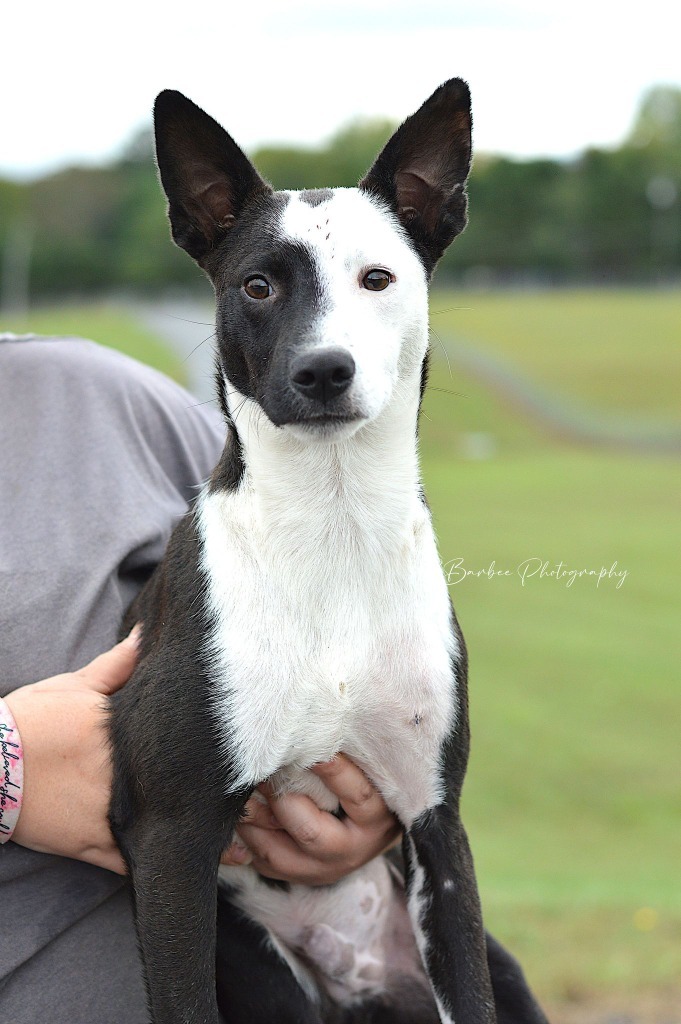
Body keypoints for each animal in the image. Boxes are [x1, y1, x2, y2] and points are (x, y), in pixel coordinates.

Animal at [109, 81, 548, 1024]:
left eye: (377, 278)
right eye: (258, 284)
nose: (323, 371)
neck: (333, 530)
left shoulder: (435, 824)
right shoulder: (173, 842)